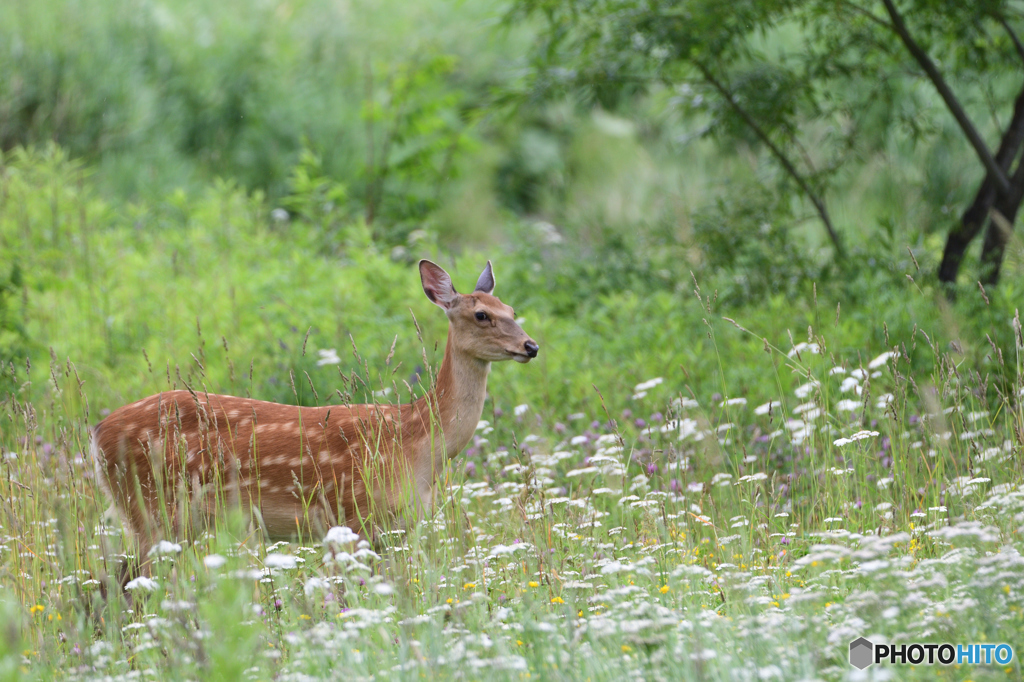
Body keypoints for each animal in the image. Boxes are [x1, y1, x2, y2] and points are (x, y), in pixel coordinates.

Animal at [93, 259, 540, 573]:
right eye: (482, 314)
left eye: (512, 308)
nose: (531, 346)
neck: (416, 443)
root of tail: (96, 434)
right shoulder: (351, 514)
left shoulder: (392, 528)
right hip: (151, 507)